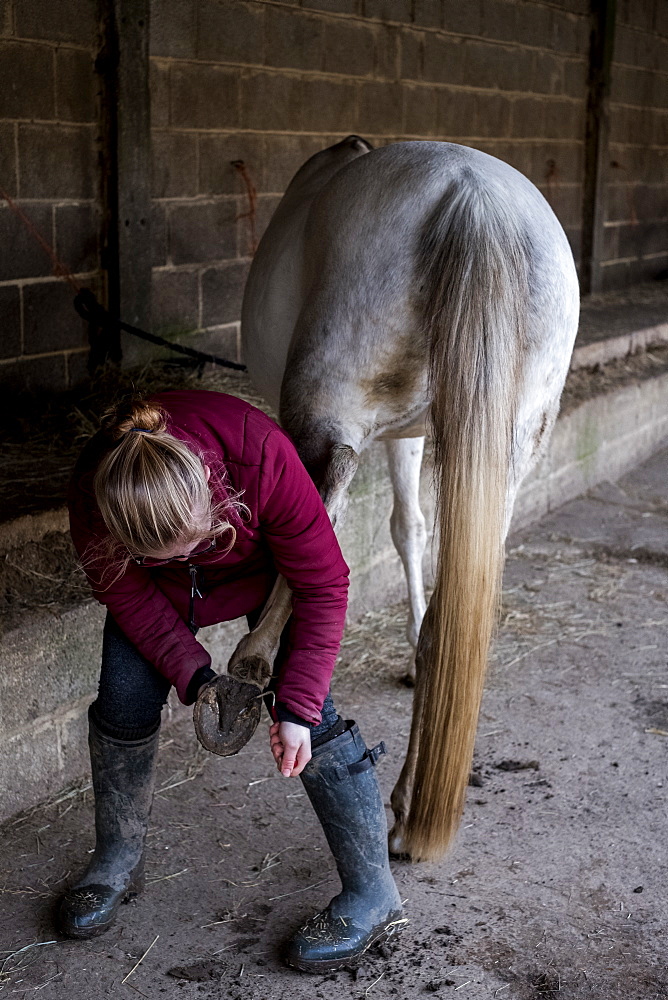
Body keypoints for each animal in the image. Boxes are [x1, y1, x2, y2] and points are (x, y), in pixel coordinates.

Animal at [226, 137, 580, 864]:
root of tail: (470, 192)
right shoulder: (412, 435)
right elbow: (409, 528)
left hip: (326, 405)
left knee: (326, 492)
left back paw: (253, 664)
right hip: (506, 448)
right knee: (454, 606)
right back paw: (408, 804)